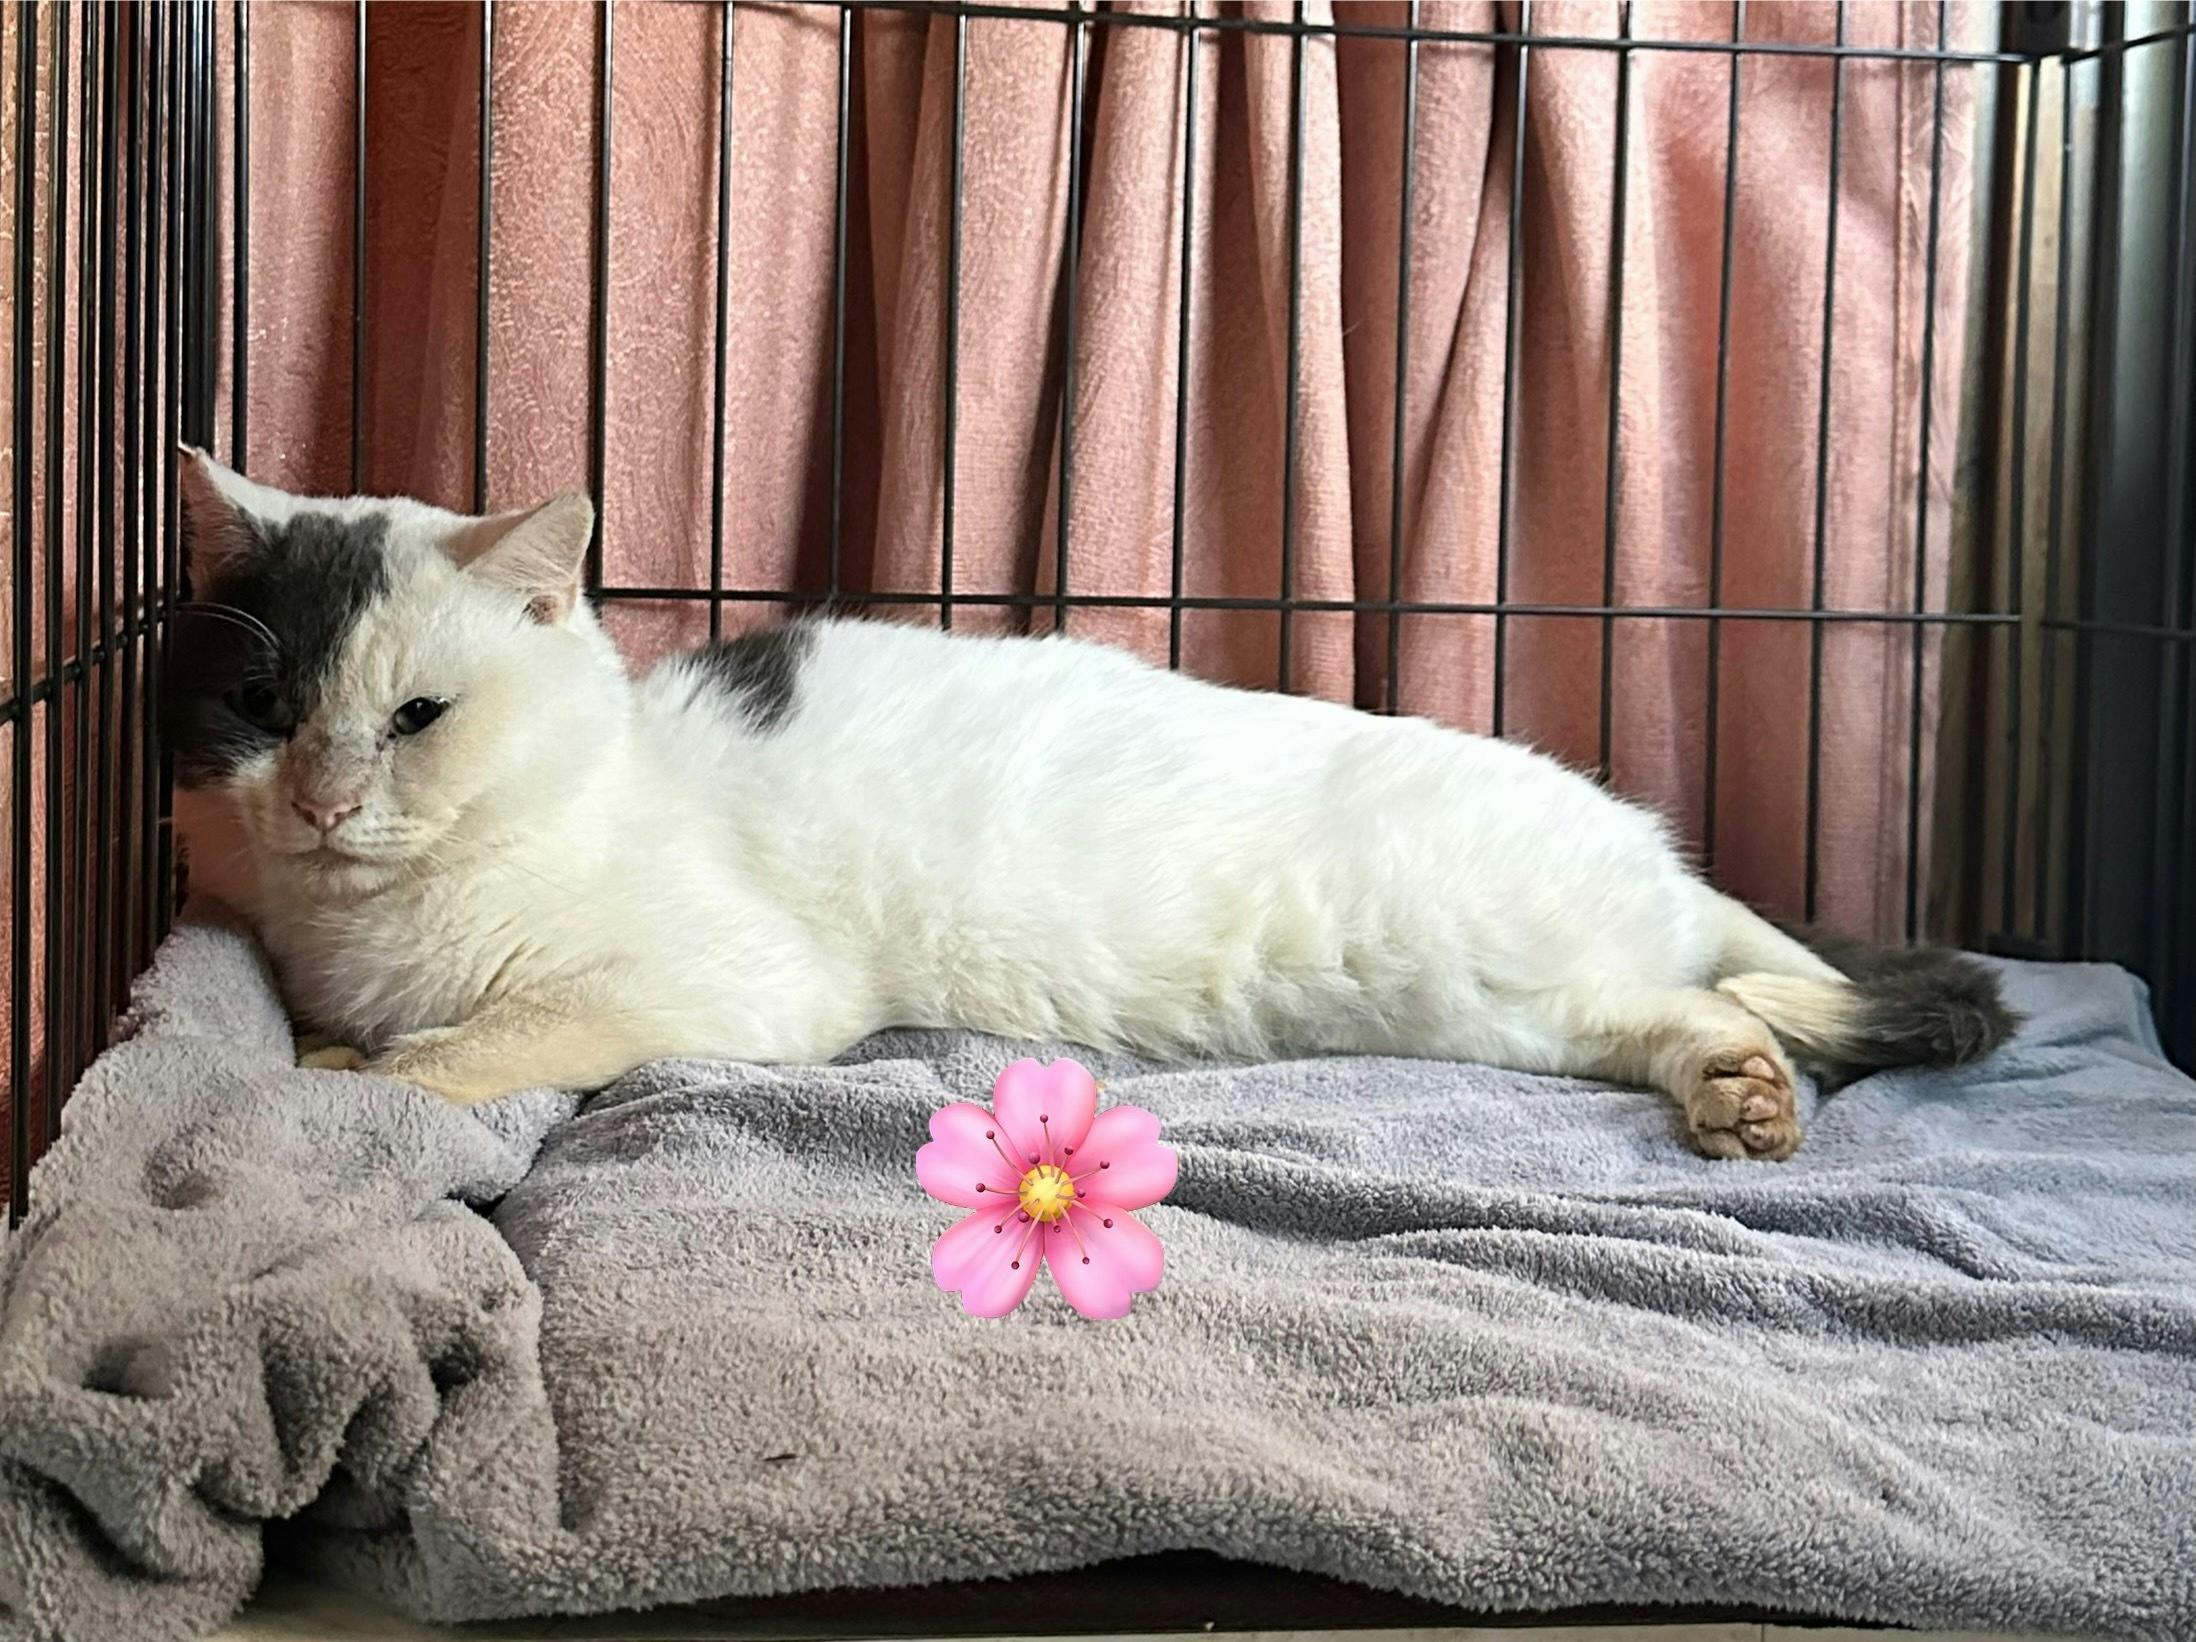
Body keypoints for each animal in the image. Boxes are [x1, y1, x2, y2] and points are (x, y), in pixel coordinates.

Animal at [165, 450, 2015, 1161]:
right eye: (265, 709)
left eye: (416, 718)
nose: (323, 797)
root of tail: (1655, 840)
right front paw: (326, 1036)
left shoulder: (715, 986)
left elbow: (463, 1048)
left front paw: (348, 1074)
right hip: (1512, 1005)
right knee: (1692, 1009)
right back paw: (1737, 1089)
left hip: (1510, 944)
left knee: (1745, 990)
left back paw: (1753, 1080)